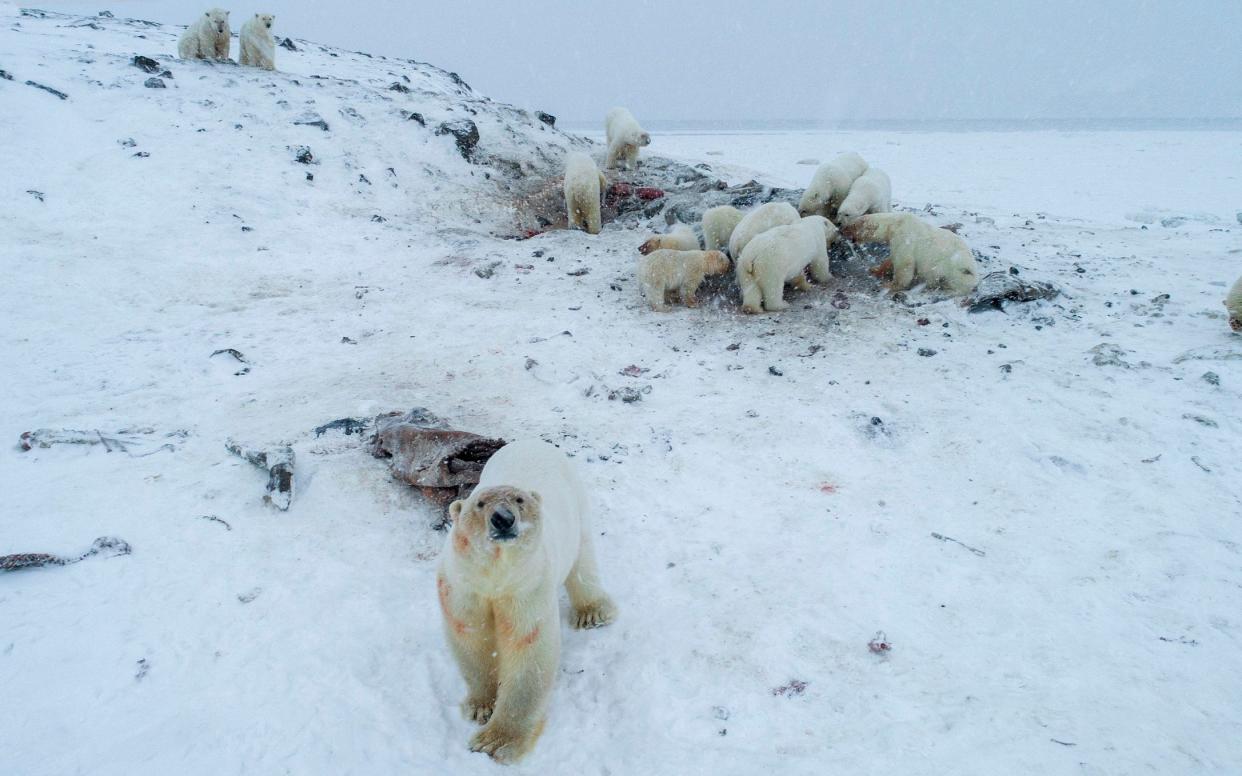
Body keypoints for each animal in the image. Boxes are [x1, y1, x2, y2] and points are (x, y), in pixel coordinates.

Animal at [437, 442, 616, 764]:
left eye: (519, 499)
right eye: (480, 503)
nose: (503, 518)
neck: (495, 576)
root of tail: (532, 442)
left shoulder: (527, 588)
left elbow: (527, 650)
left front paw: (495, 742)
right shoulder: (463, 587)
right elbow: (471, 637)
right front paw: (481, 707)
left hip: (576, 505)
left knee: (583, 559)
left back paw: (592, 613)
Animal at [844, 212, 978, 296]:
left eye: (852, 225)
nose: (842, 229)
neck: (896, 224)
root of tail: (974, 274)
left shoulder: (905, 237)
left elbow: (904, 264)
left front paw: (890, 285)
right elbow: (891, 259)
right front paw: (875, 269)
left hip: (953, 269)